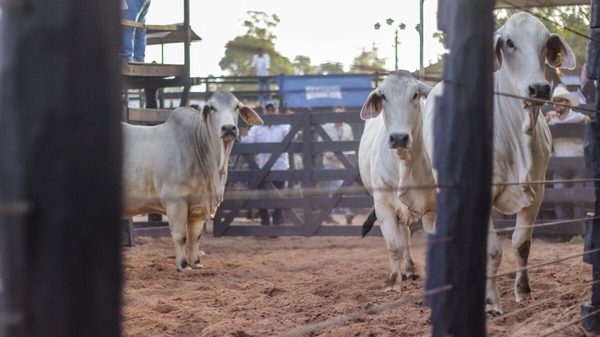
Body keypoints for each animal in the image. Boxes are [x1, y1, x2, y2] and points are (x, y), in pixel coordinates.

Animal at [122, 90, 262, 270]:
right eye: (212, 107)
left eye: (237, 107)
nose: (229, 128)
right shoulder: (175, 201)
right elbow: (181, 236)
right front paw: (183, 265)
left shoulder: (198, 207)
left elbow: (196, 236)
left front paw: (196, 262)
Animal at [356, 71, 436, 292]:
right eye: (383, 96)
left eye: (415, 94)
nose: (399, 137)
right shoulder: (383, 203)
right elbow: (394, 246)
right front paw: (393, 282)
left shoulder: (432, 206)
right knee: (403, 236)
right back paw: (407, 269)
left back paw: (410, 269)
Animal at [422, 11, 576, 316]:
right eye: (509, 43)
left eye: (546, 44)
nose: (539, 88)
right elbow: (493, 250)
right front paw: (491, 302)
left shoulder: (538, 191)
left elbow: (521, 243)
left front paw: (523, 292)